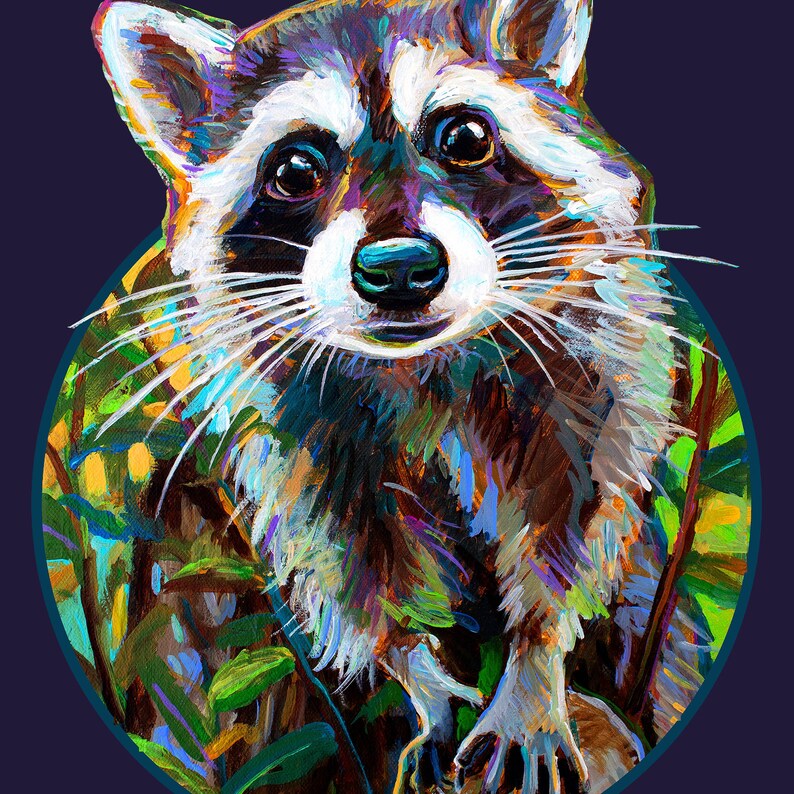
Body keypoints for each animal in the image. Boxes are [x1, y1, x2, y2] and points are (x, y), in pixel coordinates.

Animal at [92, 0, 686, 790]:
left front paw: (533, 664)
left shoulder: (588, 368)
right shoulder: (301, 434)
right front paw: (422, 676)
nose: (400, 268)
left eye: (465, 137)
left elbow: (574, 516)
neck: (417, 363)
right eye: (296, 169)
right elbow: (355, 564)